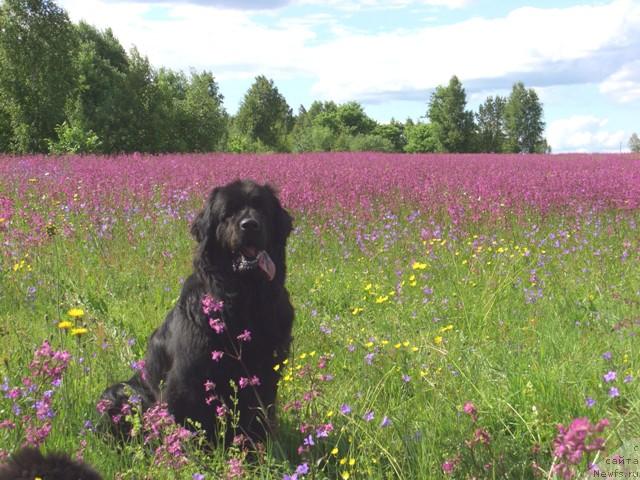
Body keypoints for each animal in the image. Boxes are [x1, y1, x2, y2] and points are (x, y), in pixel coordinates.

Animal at [100, 179, 296, 442]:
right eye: (228, 213)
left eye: (261, 209)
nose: (249, 224)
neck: (245, 300)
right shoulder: (186, 375)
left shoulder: (266, 371)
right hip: (120, 392)